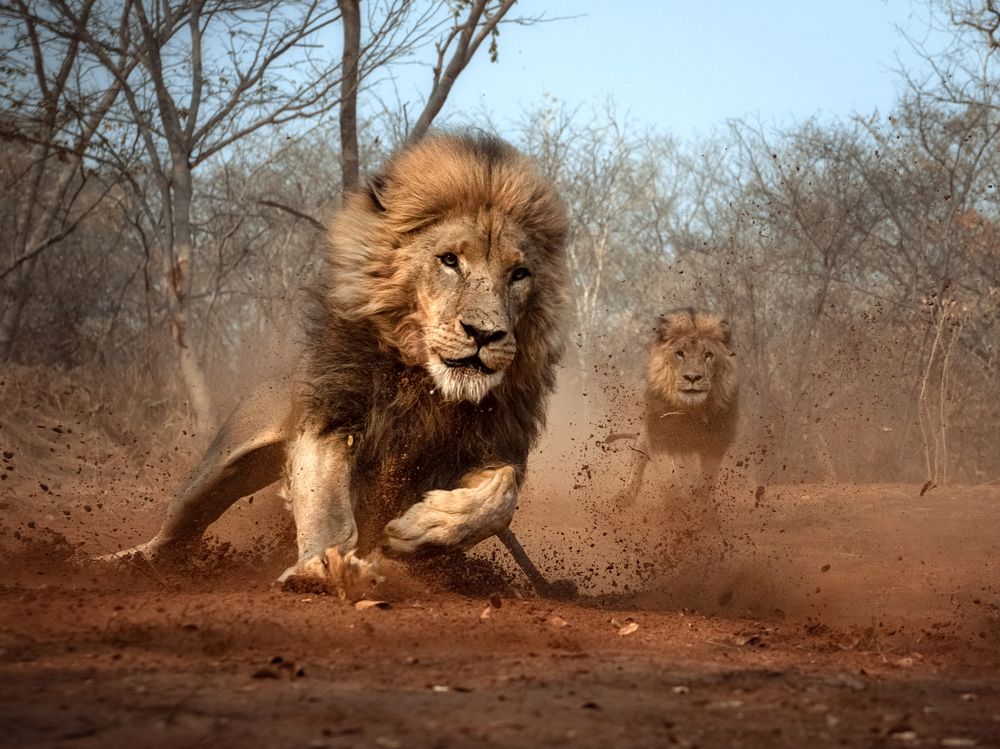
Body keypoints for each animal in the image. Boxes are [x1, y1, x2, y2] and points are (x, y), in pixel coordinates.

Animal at [105, 132, 572, 598]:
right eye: (449, 260)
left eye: (519, 273)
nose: (484, 334)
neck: (428, 385)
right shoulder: (331, 417)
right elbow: (326, 502)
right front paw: (325, 567)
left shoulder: (497, 446)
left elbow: (499, 496)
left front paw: (421, 530)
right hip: (220, 466)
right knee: (174, 533)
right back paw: (116, 564)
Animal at [612, 309, 739, 509]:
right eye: (680, 354)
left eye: (708, 355)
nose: (692, 377)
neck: (692, 411)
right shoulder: (661, 437)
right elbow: (669, 478)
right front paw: (676, 508)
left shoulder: (716, 443)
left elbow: (706, 480)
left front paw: (702, 509)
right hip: (644, 438)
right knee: (637, 463)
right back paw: (625, 496)